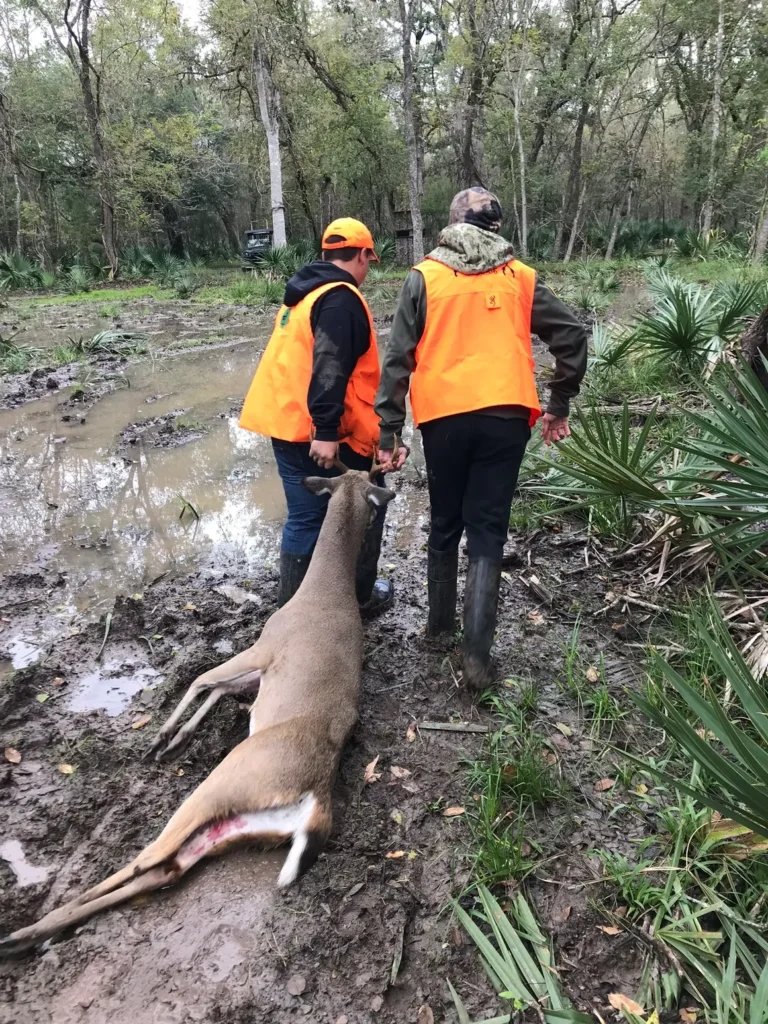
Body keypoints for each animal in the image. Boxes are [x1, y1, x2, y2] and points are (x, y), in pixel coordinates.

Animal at [0, 460, 393, 954]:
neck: (325, 587)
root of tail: (317, 796)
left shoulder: (265, 647)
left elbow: (200, 678)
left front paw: (162, 738)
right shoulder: (260, 669)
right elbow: (219, 689)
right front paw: (179, 737)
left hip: (219, 787)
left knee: (146, 859)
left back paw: (32, 925)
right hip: (235, 825)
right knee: (163, 870)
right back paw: (30, 933)